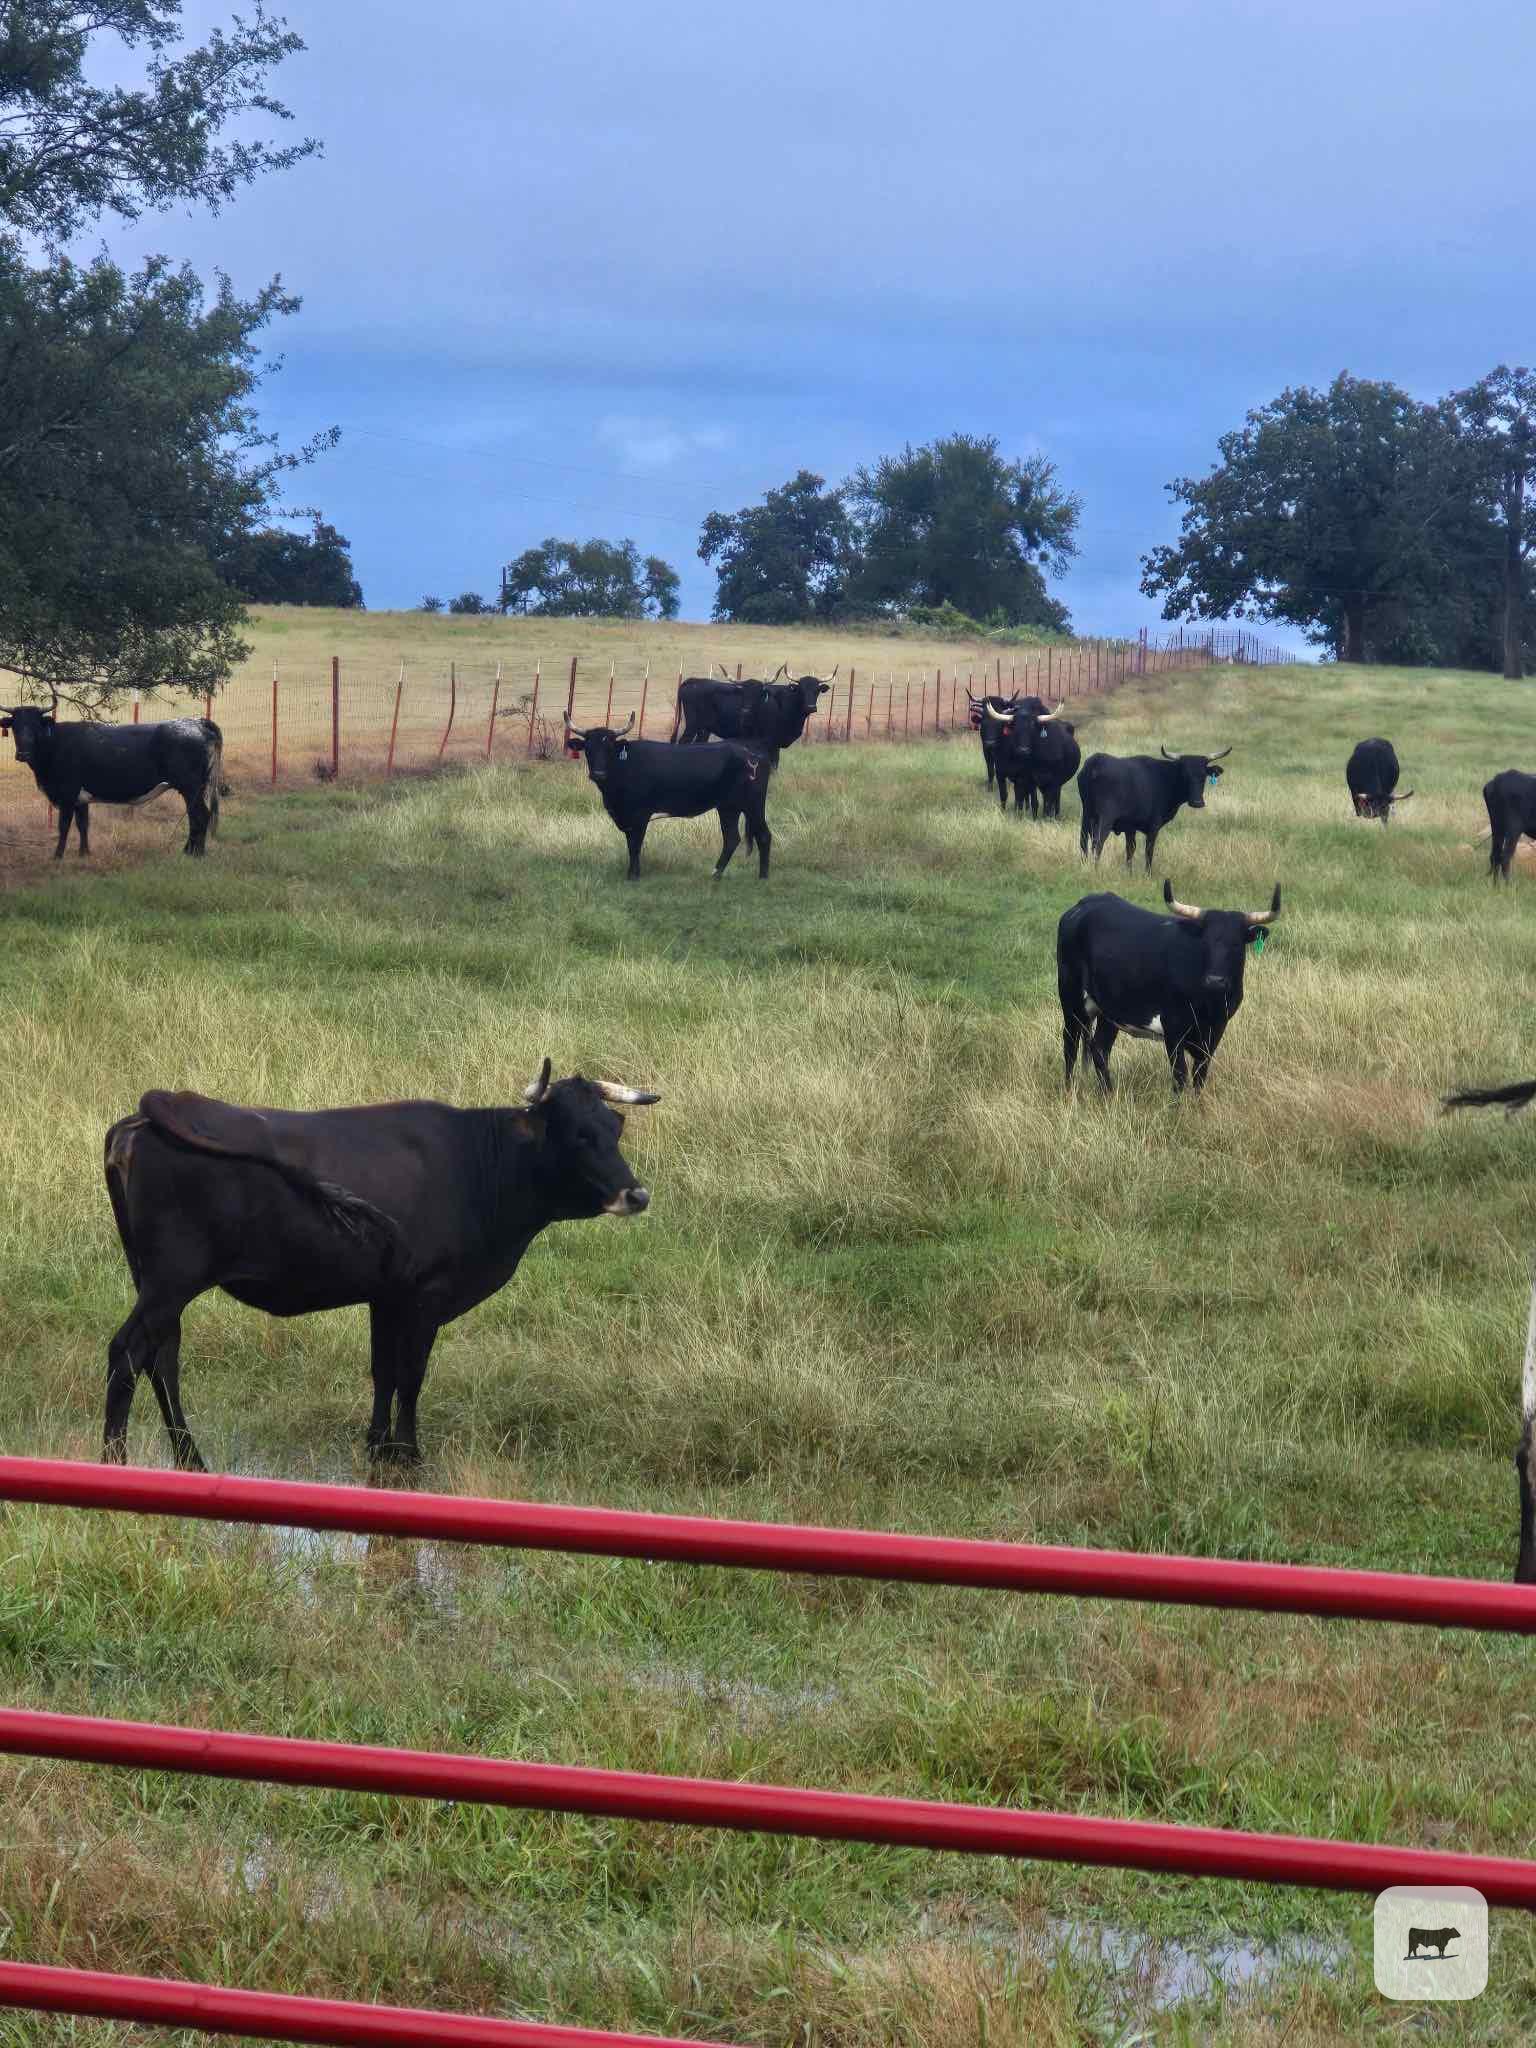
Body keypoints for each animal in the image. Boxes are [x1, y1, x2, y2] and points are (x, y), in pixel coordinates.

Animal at [1, 704, 224, 858]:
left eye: (35, 726)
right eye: (15, 727)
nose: (23, 754)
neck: (55, 743)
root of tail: (195, 722)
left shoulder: (68, 795)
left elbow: (63, 826)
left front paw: (57, 856)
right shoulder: (81, 798)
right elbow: (83, 824)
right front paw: (84, 853)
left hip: (191, 787)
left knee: (199, 816)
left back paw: (194, 853)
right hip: (195, 788)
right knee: (197, 817)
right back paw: (190, 851)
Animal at [100, 1059, 659, 1470]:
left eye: (613, 1128)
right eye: (577, 1134)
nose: (637, 1195)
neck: (476, 1164)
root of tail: (148, 1114)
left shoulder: (388, 1294)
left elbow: (383, 1370)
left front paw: (377, 1446)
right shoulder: (426, 1296)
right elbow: (411, 1375)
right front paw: (408, 1455)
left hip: (151, 1278)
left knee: (162, 1356)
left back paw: (189, 1459)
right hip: (172, 1279)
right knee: (128, 1353)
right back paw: (115, 1459)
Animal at [566, 711, 772, 879]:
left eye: (609, 749)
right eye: (588, 749)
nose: (598, 774)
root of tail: (753, 755)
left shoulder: (640, 815)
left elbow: (635, 846)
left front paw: (633, 876)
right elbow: (631, 845)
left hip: (753, 804)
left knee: (763, 835)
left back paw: (762, 877)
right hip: (728, 807)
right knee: (731, 838)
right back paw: (715, 875)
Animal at [1057, 877, 1281, 1096]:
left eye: (1236, 944)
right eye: (1205, 941)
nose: (1215, 980)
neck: (1209, 1004)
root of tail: (1083, 905)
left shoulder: (1216, 1030)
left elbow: (1200, 1074)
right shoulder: (1173, 1028)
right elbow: (1180, 1074)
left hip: (1109, 1010)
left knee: (1100, 1050)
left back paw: (1108, 1095)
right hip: (1071, 999)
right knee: (1070, 1045)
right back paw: (1068, 1091)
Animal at [1077, 745, 1231, 868]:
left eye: (1203, 775)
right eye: (1185, 774)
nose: (1197, 802)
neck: (1165, 778)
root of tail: (1096, 761)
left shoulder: (1130, 826)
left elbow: (1130, 849)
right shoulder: (1153, 826)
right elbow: (1148, 851)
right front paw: (1148, 874)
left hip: (1086, 814)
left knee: (1083, 841)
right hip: (1105, 817)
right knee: (1097, 843)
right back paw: (1095, 870)